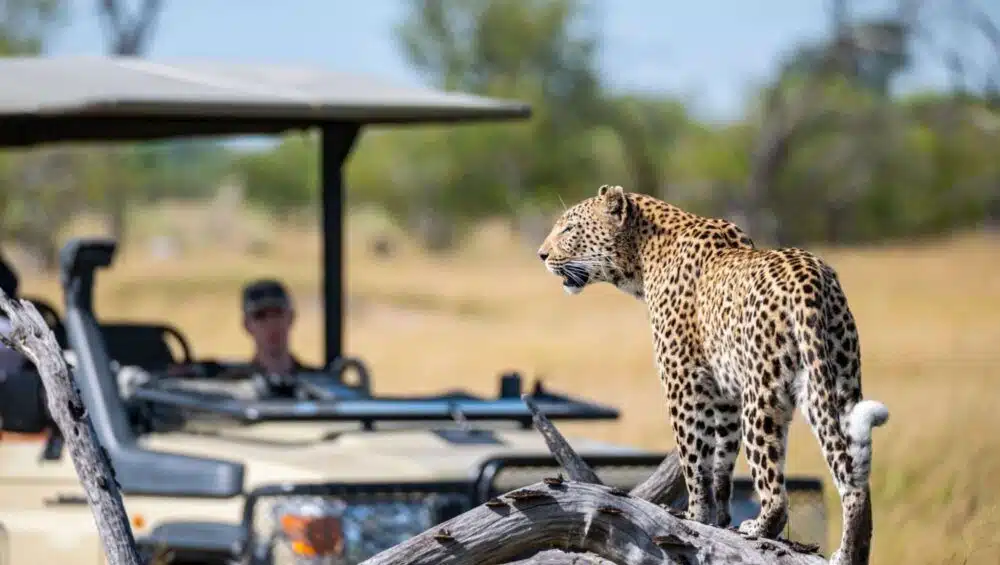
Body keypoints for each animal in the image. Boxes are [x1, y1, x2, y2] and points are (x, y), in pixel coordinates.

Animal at [540, 184, 892, 560]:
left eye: (569, 228)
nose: (541, 254)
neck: (643, 253)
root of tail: (809, 275)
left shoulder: (681, 381)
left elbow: (694, 457)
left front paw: (696, 516)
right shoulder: (725, 395)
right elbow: (721, 462)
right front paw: (719, 519)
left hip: (763, 397)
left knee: (776, 490)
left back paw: (759, 527)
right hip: (837, 382)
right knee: (854, 477)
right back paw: (850, 551)